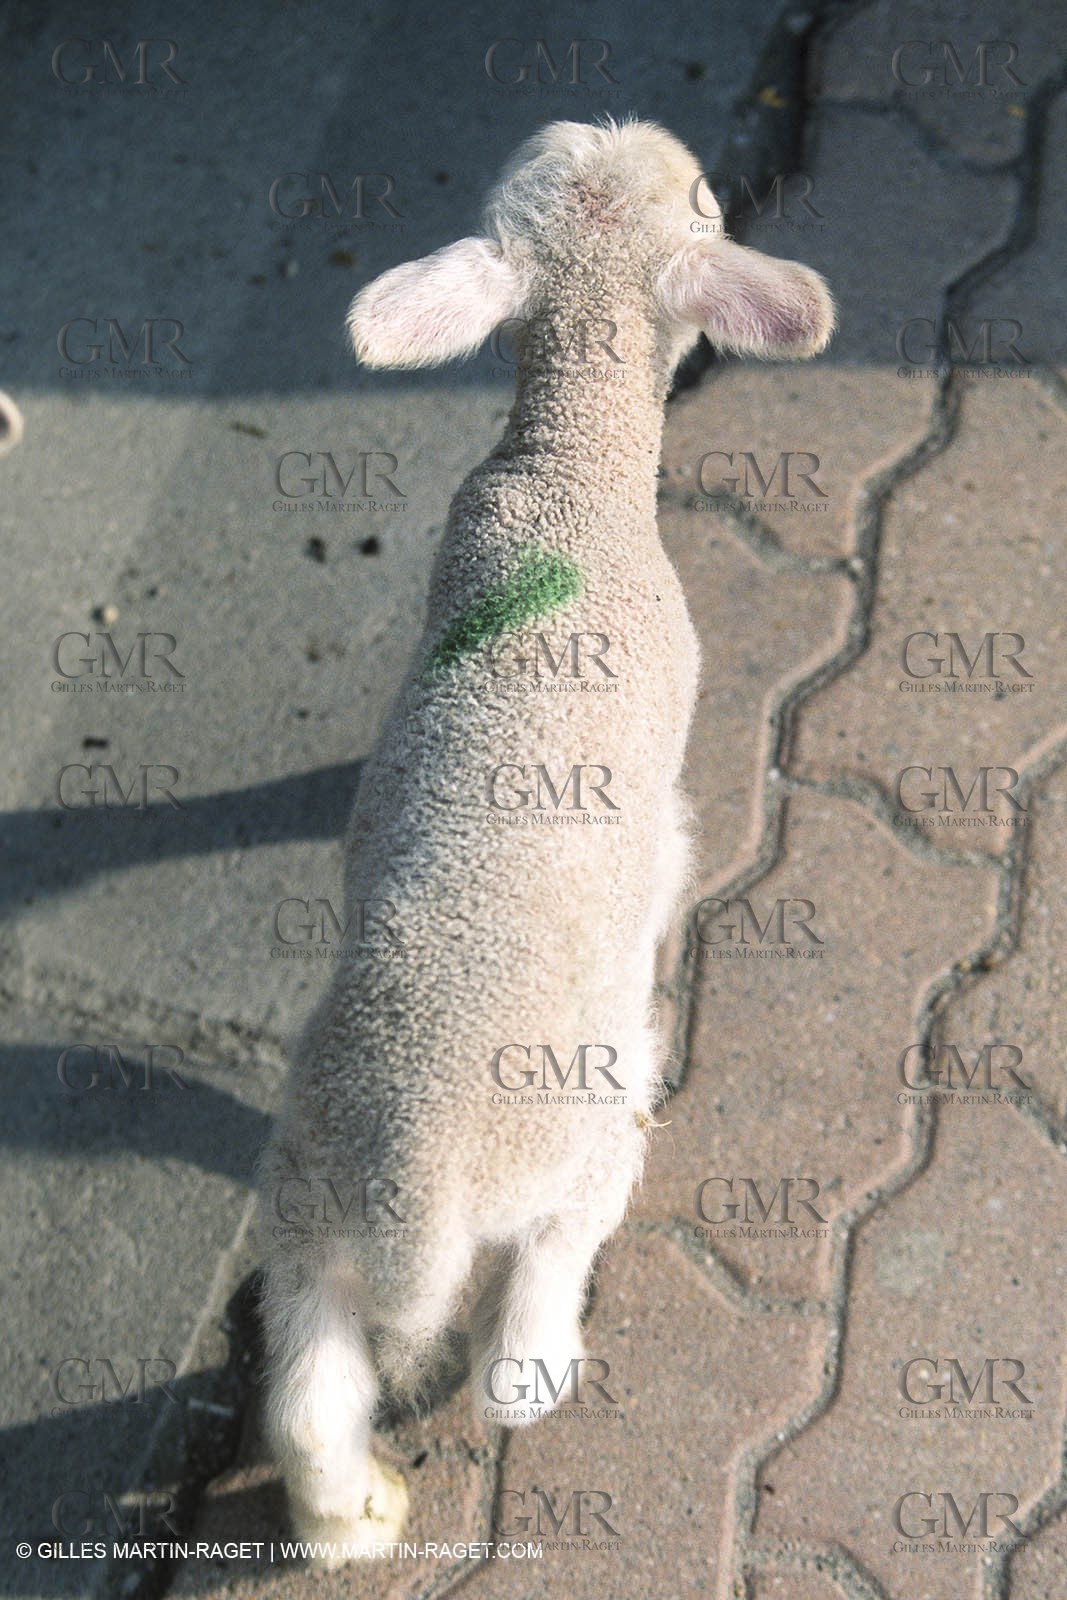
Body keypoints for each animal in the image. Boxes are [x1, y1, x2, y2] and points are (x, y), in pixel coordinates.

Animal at [258, 117, 834, 1563]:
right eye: (705, 201)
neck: (564, 471)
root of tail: (415, 1199)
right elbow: (674, 848)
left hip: (297, 1214)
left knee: (305, 1397)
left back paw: (354, 1517)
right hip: (570, 1153)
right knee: (528, 1323)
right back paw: (540, 1364)